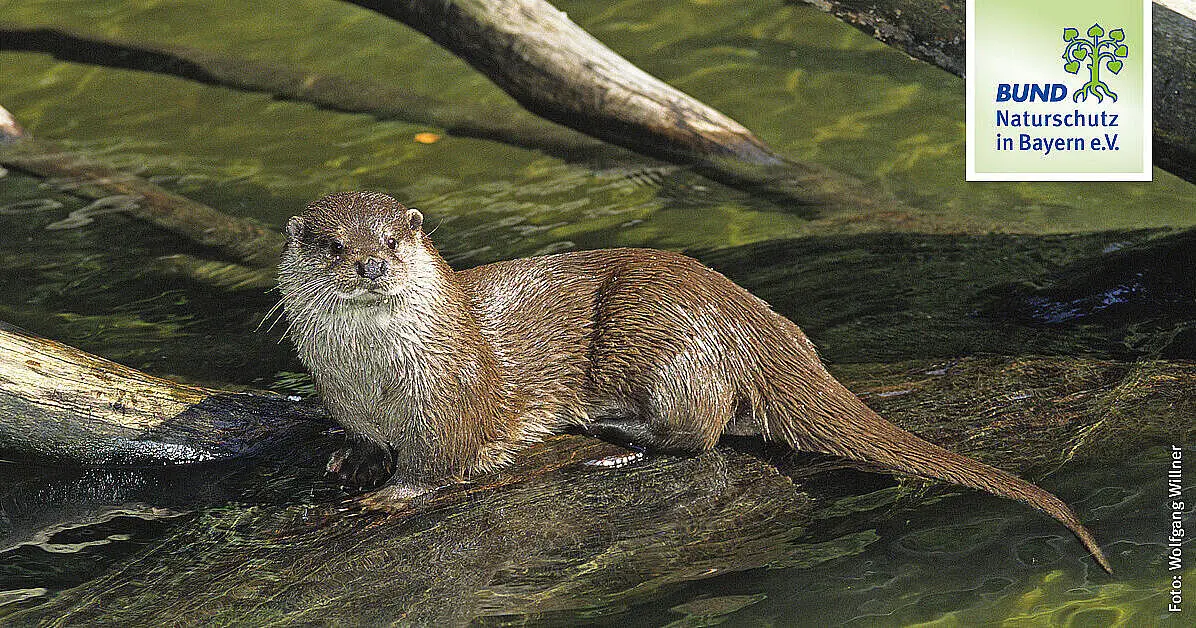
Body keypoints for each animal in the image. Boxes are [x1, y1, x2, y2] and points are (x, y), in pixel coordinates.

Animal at [278, 191, 1111, 572]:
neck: (375, 382)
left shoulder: (446, 400)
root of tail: (756, 326)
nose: (371, 264)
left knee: (701, 430)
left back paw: (617, 437)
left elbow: (437, 463)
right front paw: (348, 459)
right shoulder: (349, 401)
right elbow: (355, 439)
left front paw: (387, 497)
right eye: (330, 243)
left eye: (393, 239)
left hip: (659, 334)